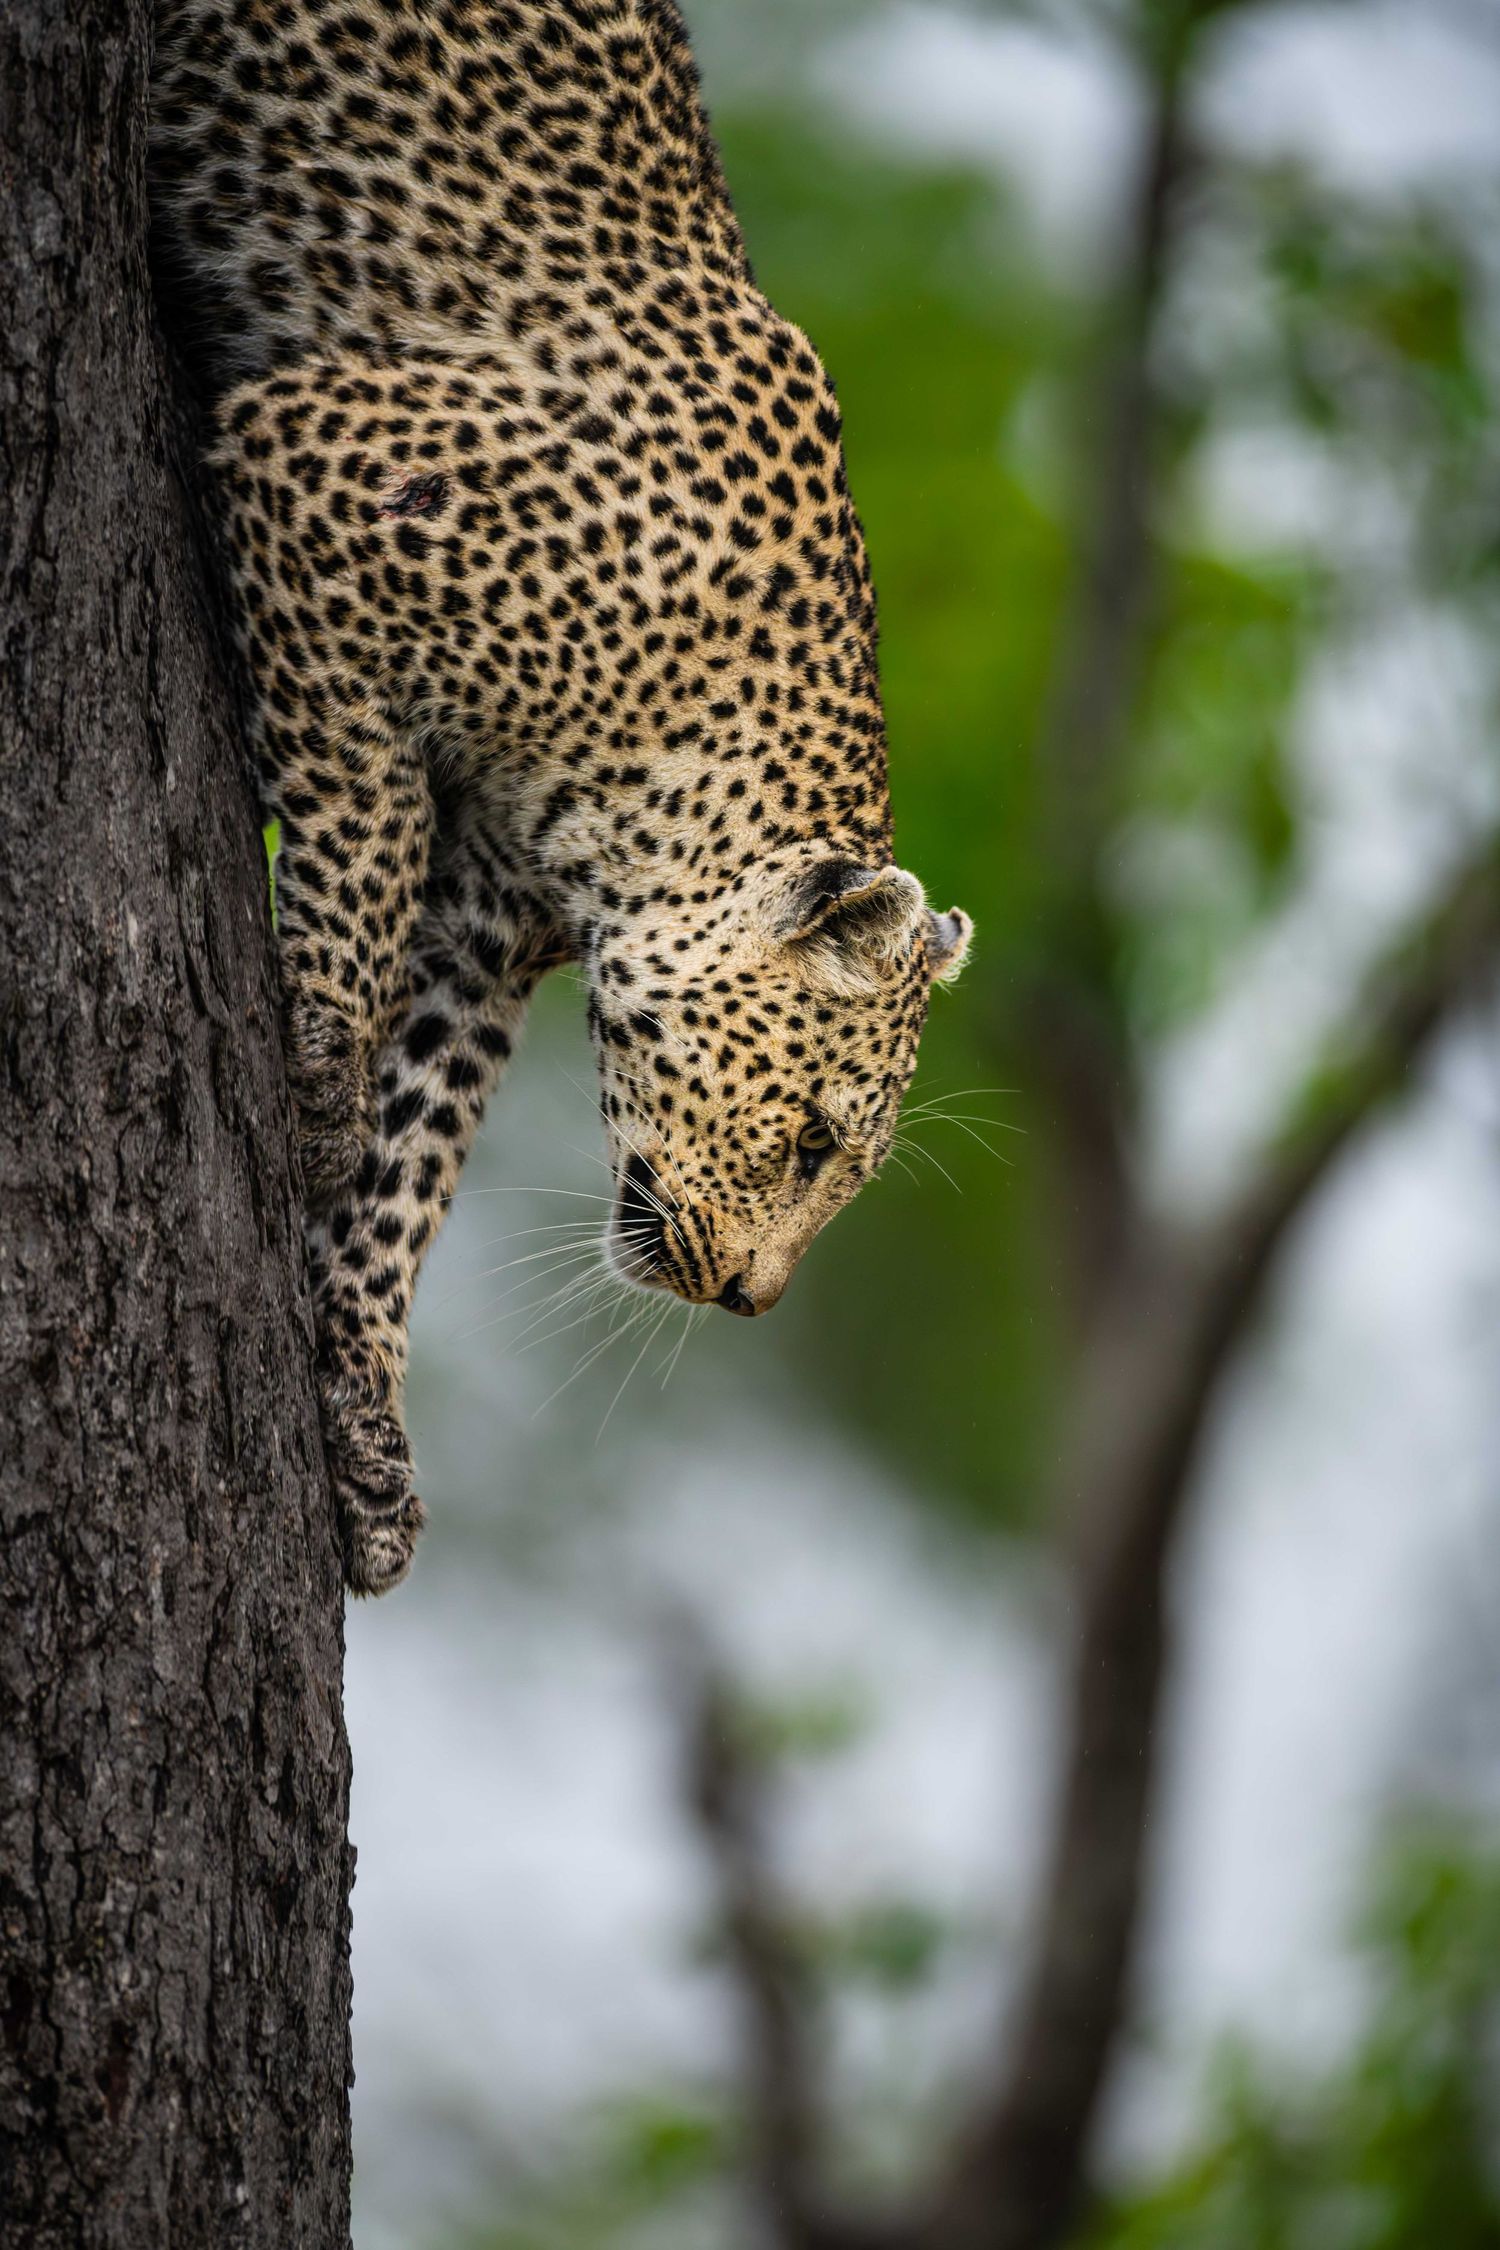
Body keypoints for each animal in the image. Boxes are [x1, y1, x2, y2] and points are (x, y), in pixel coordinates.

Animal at [149, 0, 973, 1597]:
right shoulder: (318, 468)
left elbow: (415, 1158)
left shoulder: (486, 933)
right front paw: (318, 1067)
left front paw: (364, 1431)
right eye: (814, 1142)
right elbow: (369, 818)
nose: (754, 1301)